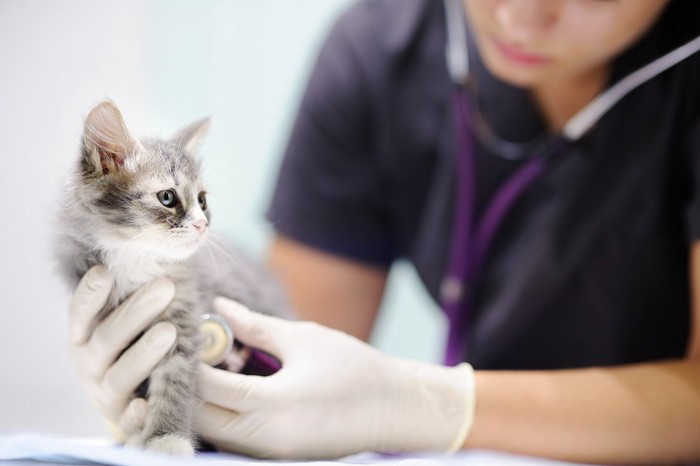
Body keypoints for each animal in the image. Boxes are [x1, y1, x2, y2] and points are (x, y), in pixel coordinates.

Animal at [56, 101, 292, 456]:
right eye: (167, 197)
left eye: (203, 201)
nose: (202, 225)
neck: (137, 259)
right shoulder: (109, 320)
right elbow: (137, 384)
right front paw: (139, 433)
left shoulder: (184, 315)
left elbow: (174, 384)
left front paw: (166, 438)